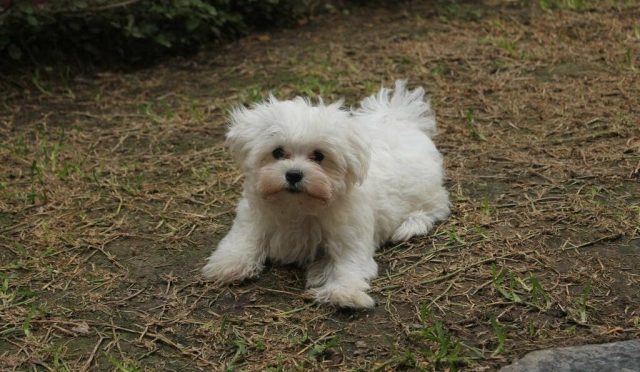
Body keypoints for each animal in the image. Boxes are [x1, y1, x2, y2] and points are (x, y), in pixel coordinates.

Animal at [202, 80, 448, 308]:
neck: (298, 205)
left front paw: (345, 292)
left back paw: (410, 225)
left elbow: (349, 262)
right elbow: (244, 238)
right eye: (278, 152)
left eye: (319, 156)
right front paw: (229, 263)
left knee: (437, 205)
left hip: (423, 187)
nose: (293, 174)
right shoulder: (254, 217)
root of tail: (400, 119)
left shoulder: (349, 233)